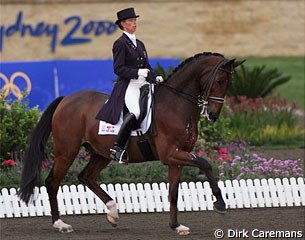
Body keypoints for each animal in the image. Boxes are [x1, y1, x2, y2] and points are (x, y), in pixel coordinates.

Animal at [18, 53, 242, 236]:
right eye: (220, 80)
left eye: (229, 83)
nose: (212, 114)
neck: (176, 104)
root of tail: (66, 99)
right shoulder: (170, 154)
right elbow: (205, 164)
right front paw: (220, 203)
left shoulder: (177, 157)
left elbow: (173, 192)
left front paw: (176, 226)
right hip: (67, 152)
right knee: (52, 182)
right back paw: (60, 224)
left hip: (101, 153)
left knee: (86, 177)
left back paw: (113, 213)